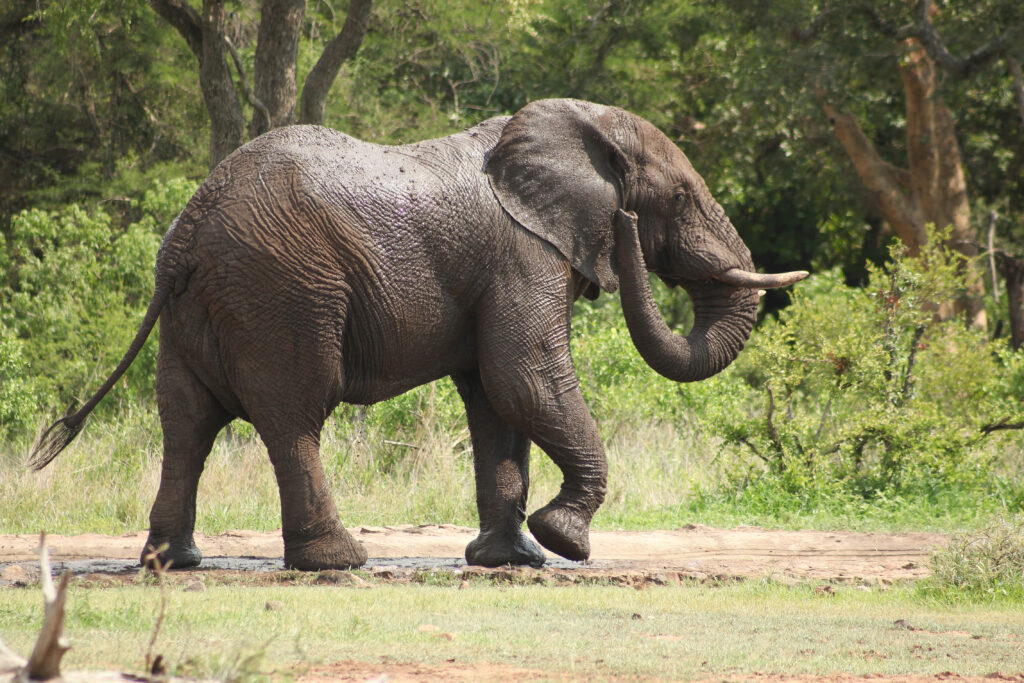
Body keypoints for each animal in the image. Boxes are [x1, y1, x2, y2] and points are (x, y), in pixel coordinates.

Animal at [30, 98, 806, 571]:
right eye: (677, 198)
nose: (630, 229)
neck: (577, 123)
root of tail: (189, 229)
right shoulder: (523, 253)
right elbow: (524, 374)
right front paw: (563, 540)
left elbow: (496, 398)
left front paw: (509, 559)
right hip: (282, 290)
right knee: (294, 414)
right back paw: (337, 561)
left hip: (202, 306)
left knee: (186, 422)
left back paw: (172, 562)